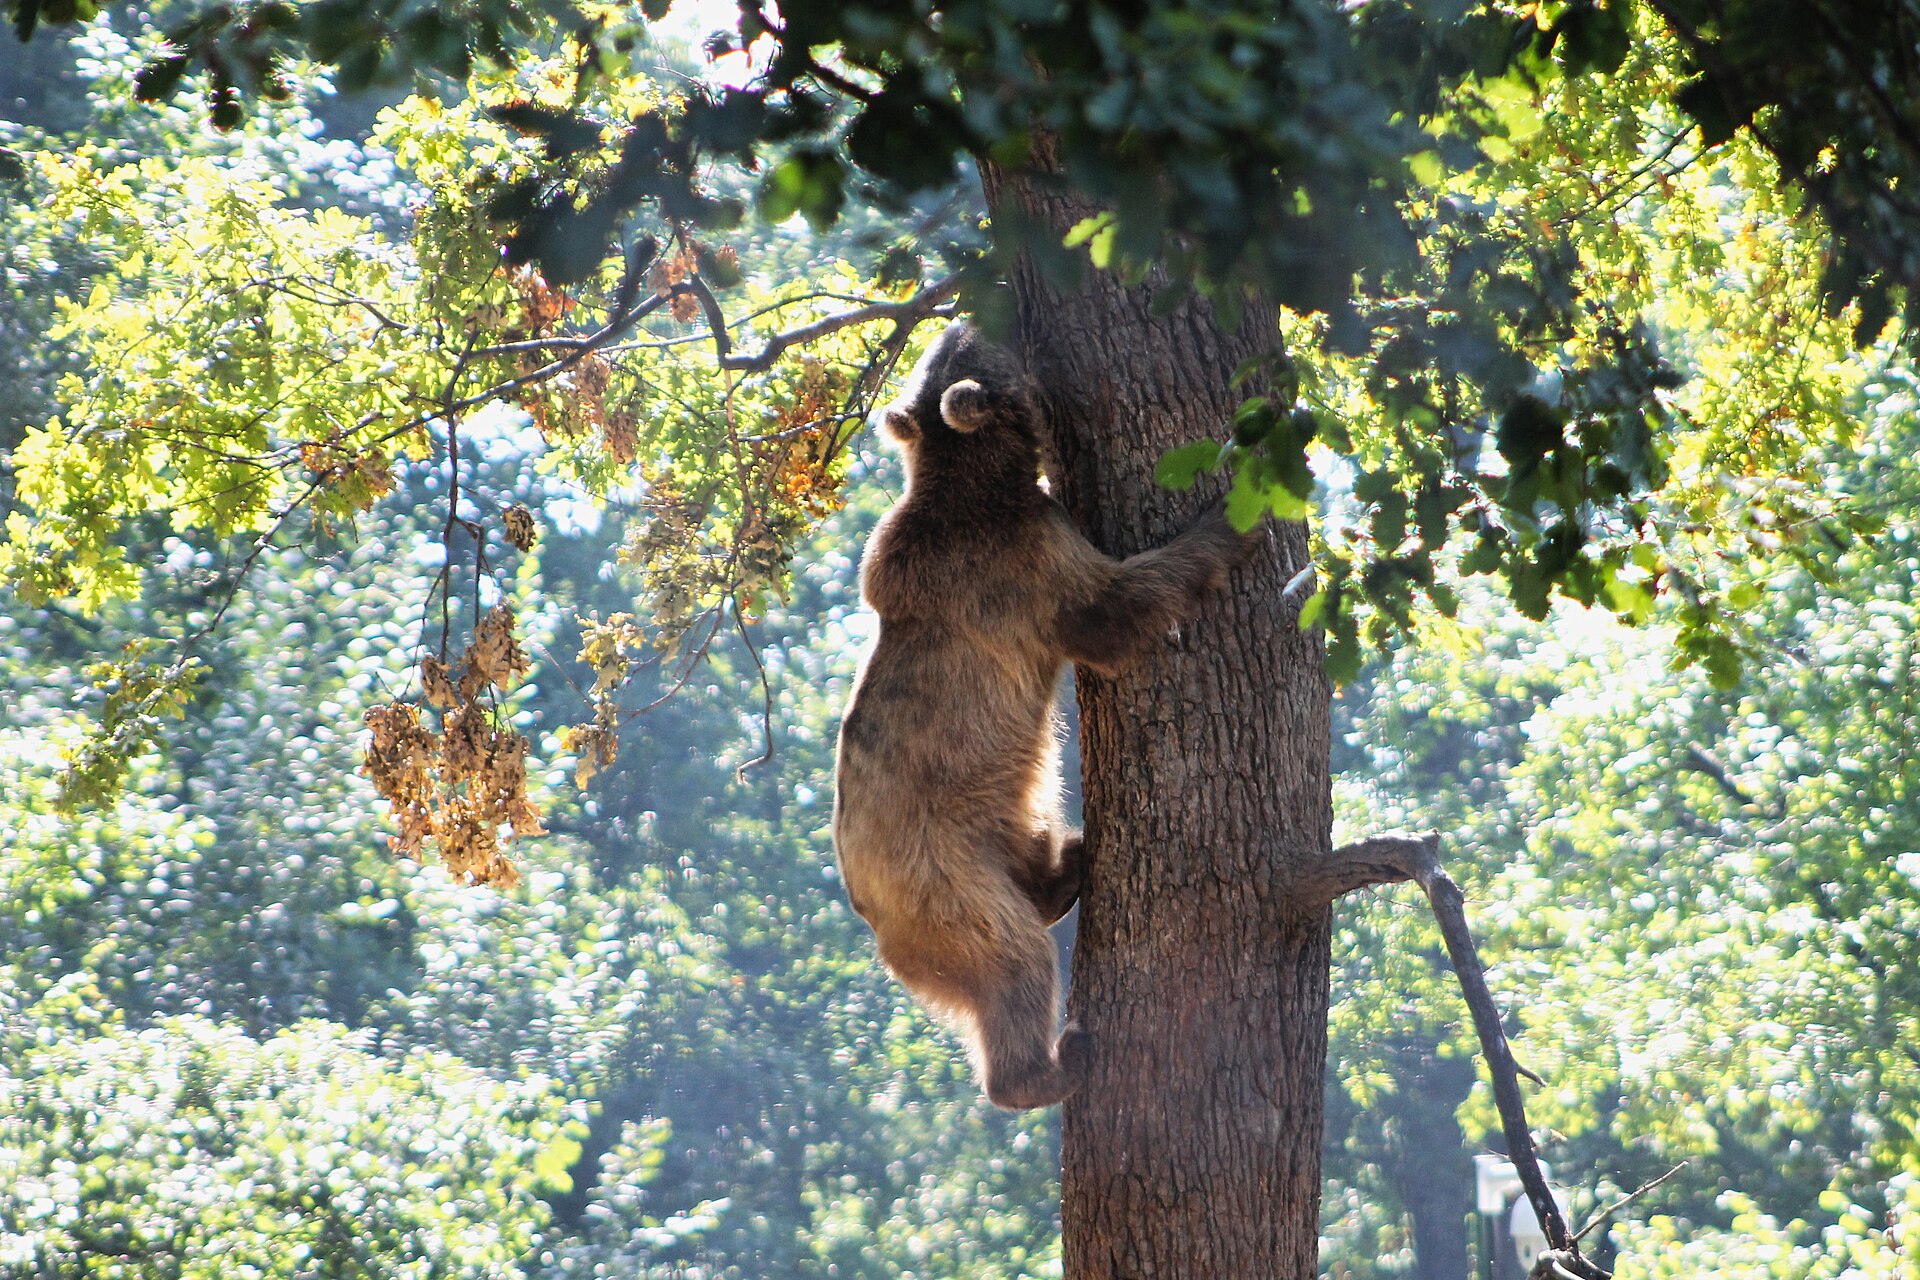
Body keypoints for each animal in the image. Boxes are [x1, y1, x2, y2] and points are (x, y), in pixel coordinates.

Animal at [831, 320, 1257, 1110]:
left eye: (948, 339)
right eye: (974, 339)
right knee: (1014, 959)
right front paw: (1237, 513)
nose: (965, 314)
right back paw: (1053, 1063)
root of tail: (875, 925)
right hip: (945, 875)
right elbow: (1115, 608)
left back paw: (1070, 864)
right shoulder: (1023, 564)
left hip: (997, 833)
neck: (979, 481)